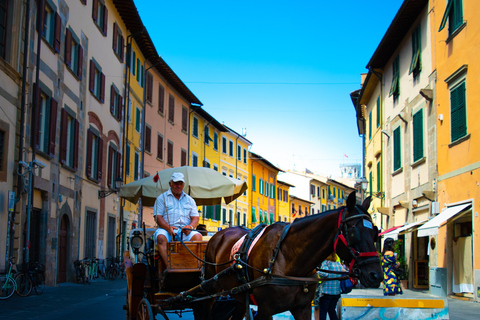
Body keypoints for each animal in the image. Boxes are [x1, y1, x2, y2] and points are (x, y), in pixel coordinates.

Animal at [201, 192, 380, 320]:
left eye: (375, 233)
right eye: (353, 232)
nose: (375, 275)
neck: (287, 258)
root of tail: (218, 235)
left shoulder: (303, 309)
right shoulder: (265, 310)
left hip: (238, 295)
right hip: (209, 289)